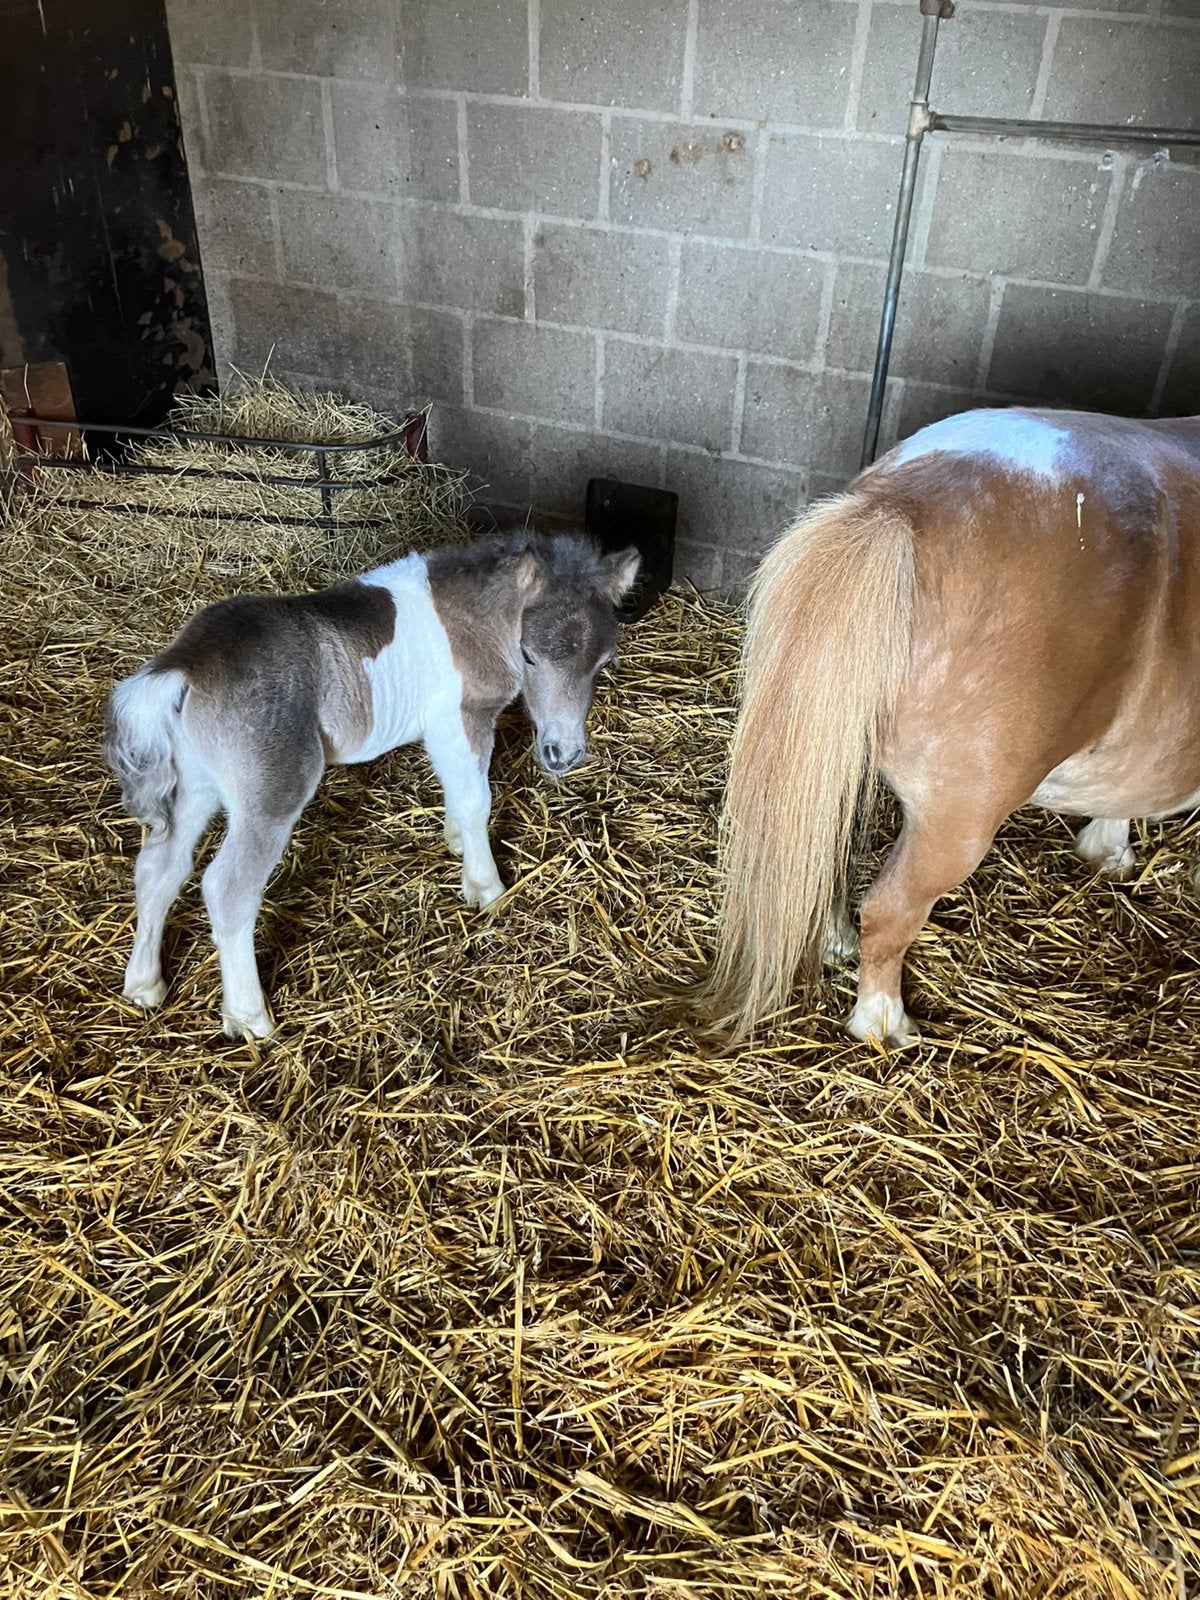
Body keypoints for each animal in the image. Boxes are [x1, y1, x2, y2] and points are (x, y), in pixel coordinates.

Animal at [104, 531, 640, 1039]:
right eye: (529, 656)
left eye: (604, 662)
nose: (562, 754)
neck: (480, 622)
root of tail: (187, 662)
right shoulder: (461, 716)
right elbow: (475, 800)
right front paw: (486, 889)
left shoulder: (439, 728)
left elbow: (455, 789)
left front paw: (454, 844)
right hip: (271, 792)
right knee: (227, 888)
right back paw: (249, 1017)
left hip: (195, 784)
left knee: (160, 868)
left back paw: (144, 985)